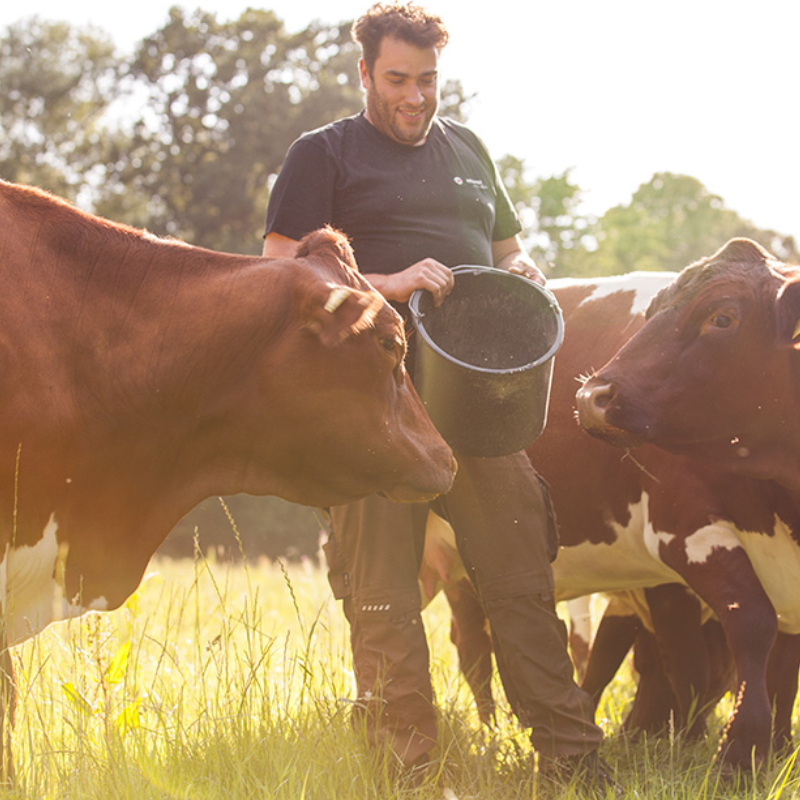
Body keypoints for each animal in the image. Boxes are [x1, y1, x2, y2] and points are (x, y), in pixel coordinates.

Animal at [580, 241, 800, 772]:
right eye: (652, 312)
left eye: (722, 318)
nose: (591, 396)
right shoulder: (684, 531)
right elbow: (748, 629)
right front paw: (736, 750)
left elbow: (784, 664)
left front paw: (778, 749)